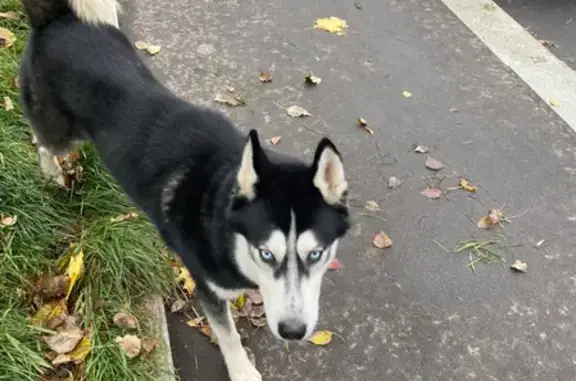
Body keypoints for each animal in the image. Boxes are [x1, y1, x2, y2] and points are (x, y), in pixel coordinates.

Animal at [19, 0, 352, 380]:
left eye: (316, 254)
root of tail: (56, 19)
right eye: (266, 253)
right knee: (43, 142)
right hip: (59, 131)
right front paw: (242, 370)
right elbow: (228, 336)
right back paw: (51, 174)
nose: (292, 331)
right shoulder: (208, 289)